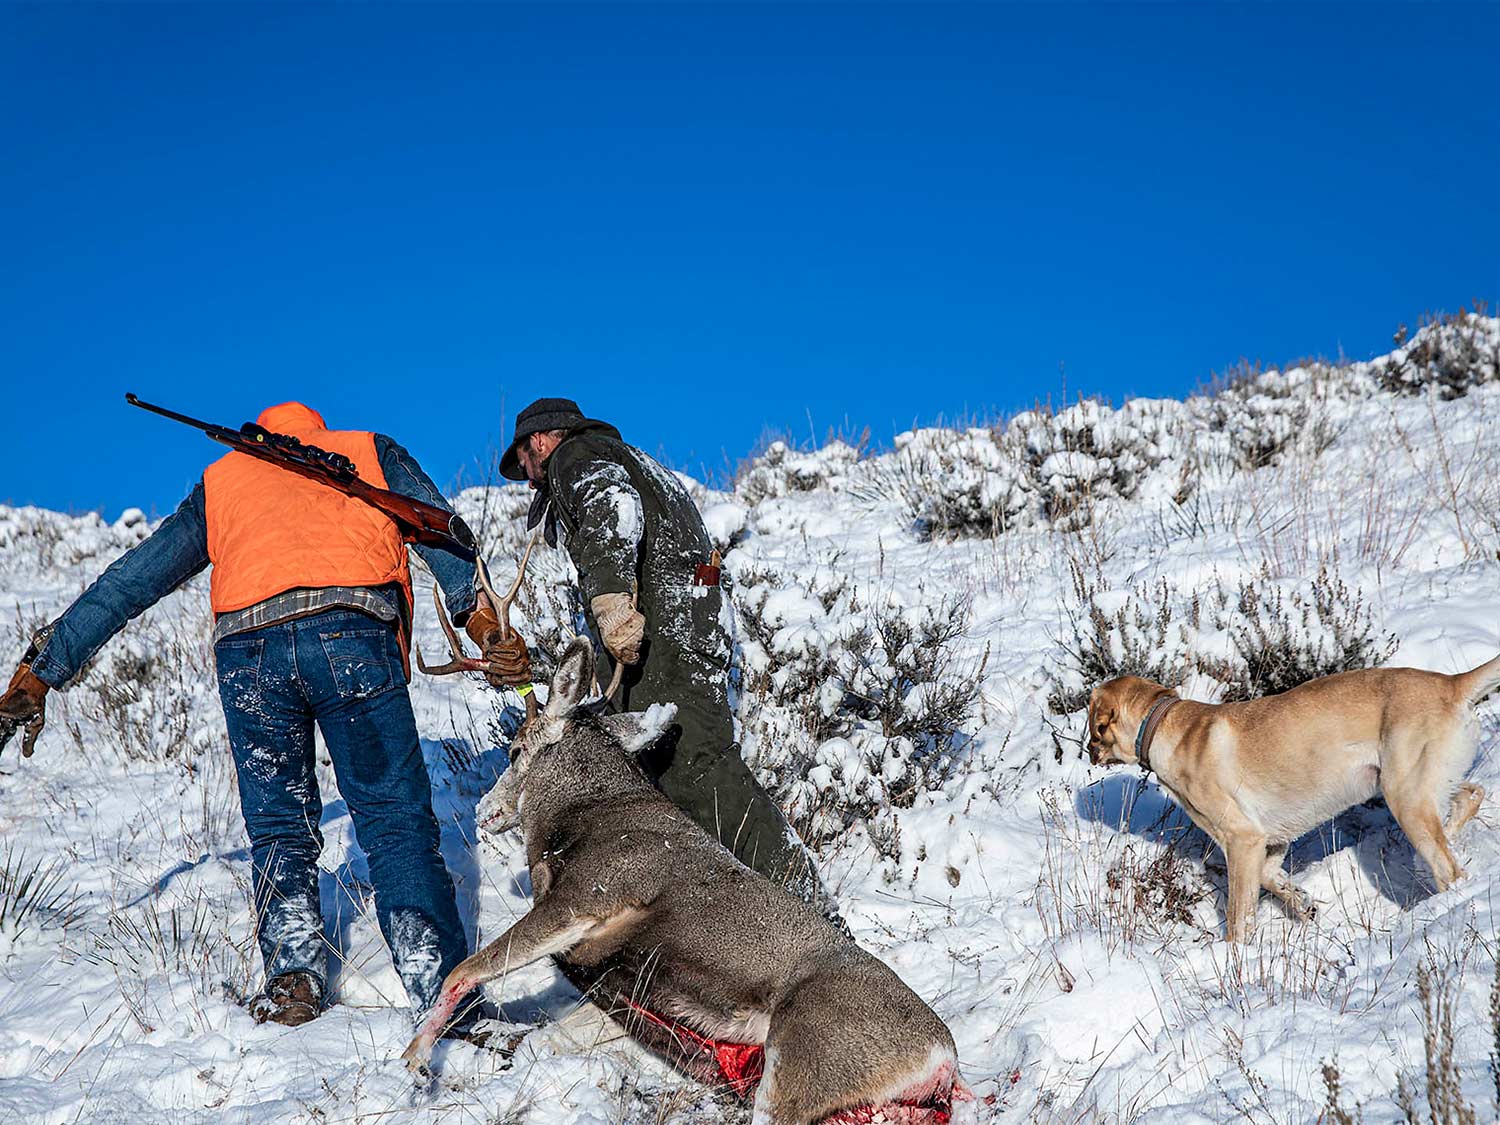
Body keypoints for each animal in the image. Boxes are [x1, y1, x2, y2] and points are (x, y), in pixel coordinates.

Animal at [1086, 660, 1494, 942]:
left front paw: (1235, 958)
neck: (1161, 726)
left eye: (1093, 725)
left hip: (1405, 797)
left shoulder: (1243, 839)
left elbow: (1240, 914)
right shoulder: (1271, 841)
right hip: (1420, 785)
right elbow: (1272, 878)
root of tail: (1452, 683)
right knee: (1471, 796)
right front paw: (1301, 902)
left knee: (1450, 870)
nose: (1086, 751)